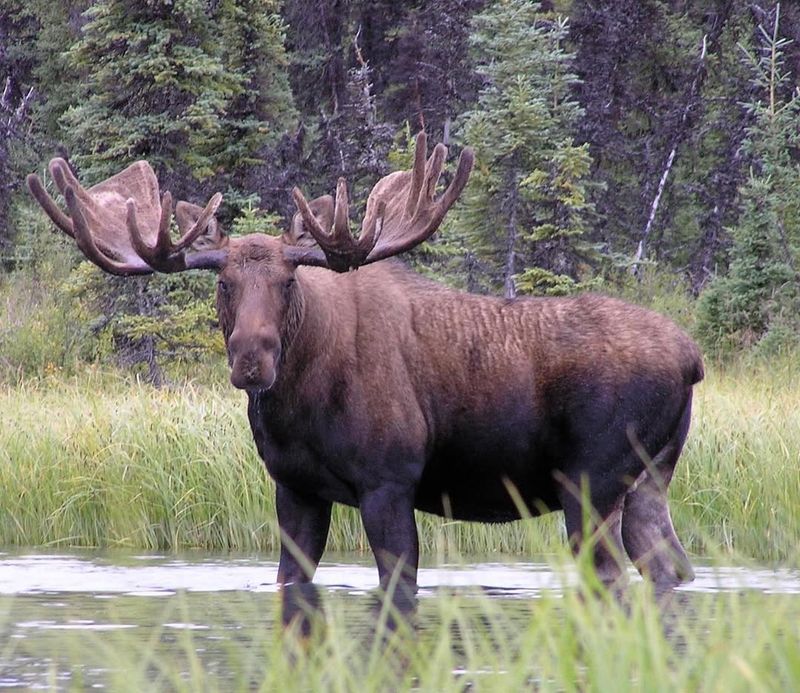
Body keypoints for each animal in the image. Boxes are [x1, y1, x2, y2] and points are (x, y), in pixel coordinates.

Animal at [28, 133, 703, 625]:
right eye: (223, 283)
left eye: (288, 282)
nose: (252, 360)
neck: (299, 408)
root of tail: (692, 357)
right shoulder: (295, 487)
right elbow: (290, 584)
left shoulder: (389, 481)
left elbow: (397, 591)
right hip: (651, 477)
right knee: (671, 567)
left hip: (591, 478)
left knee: (612, 576)